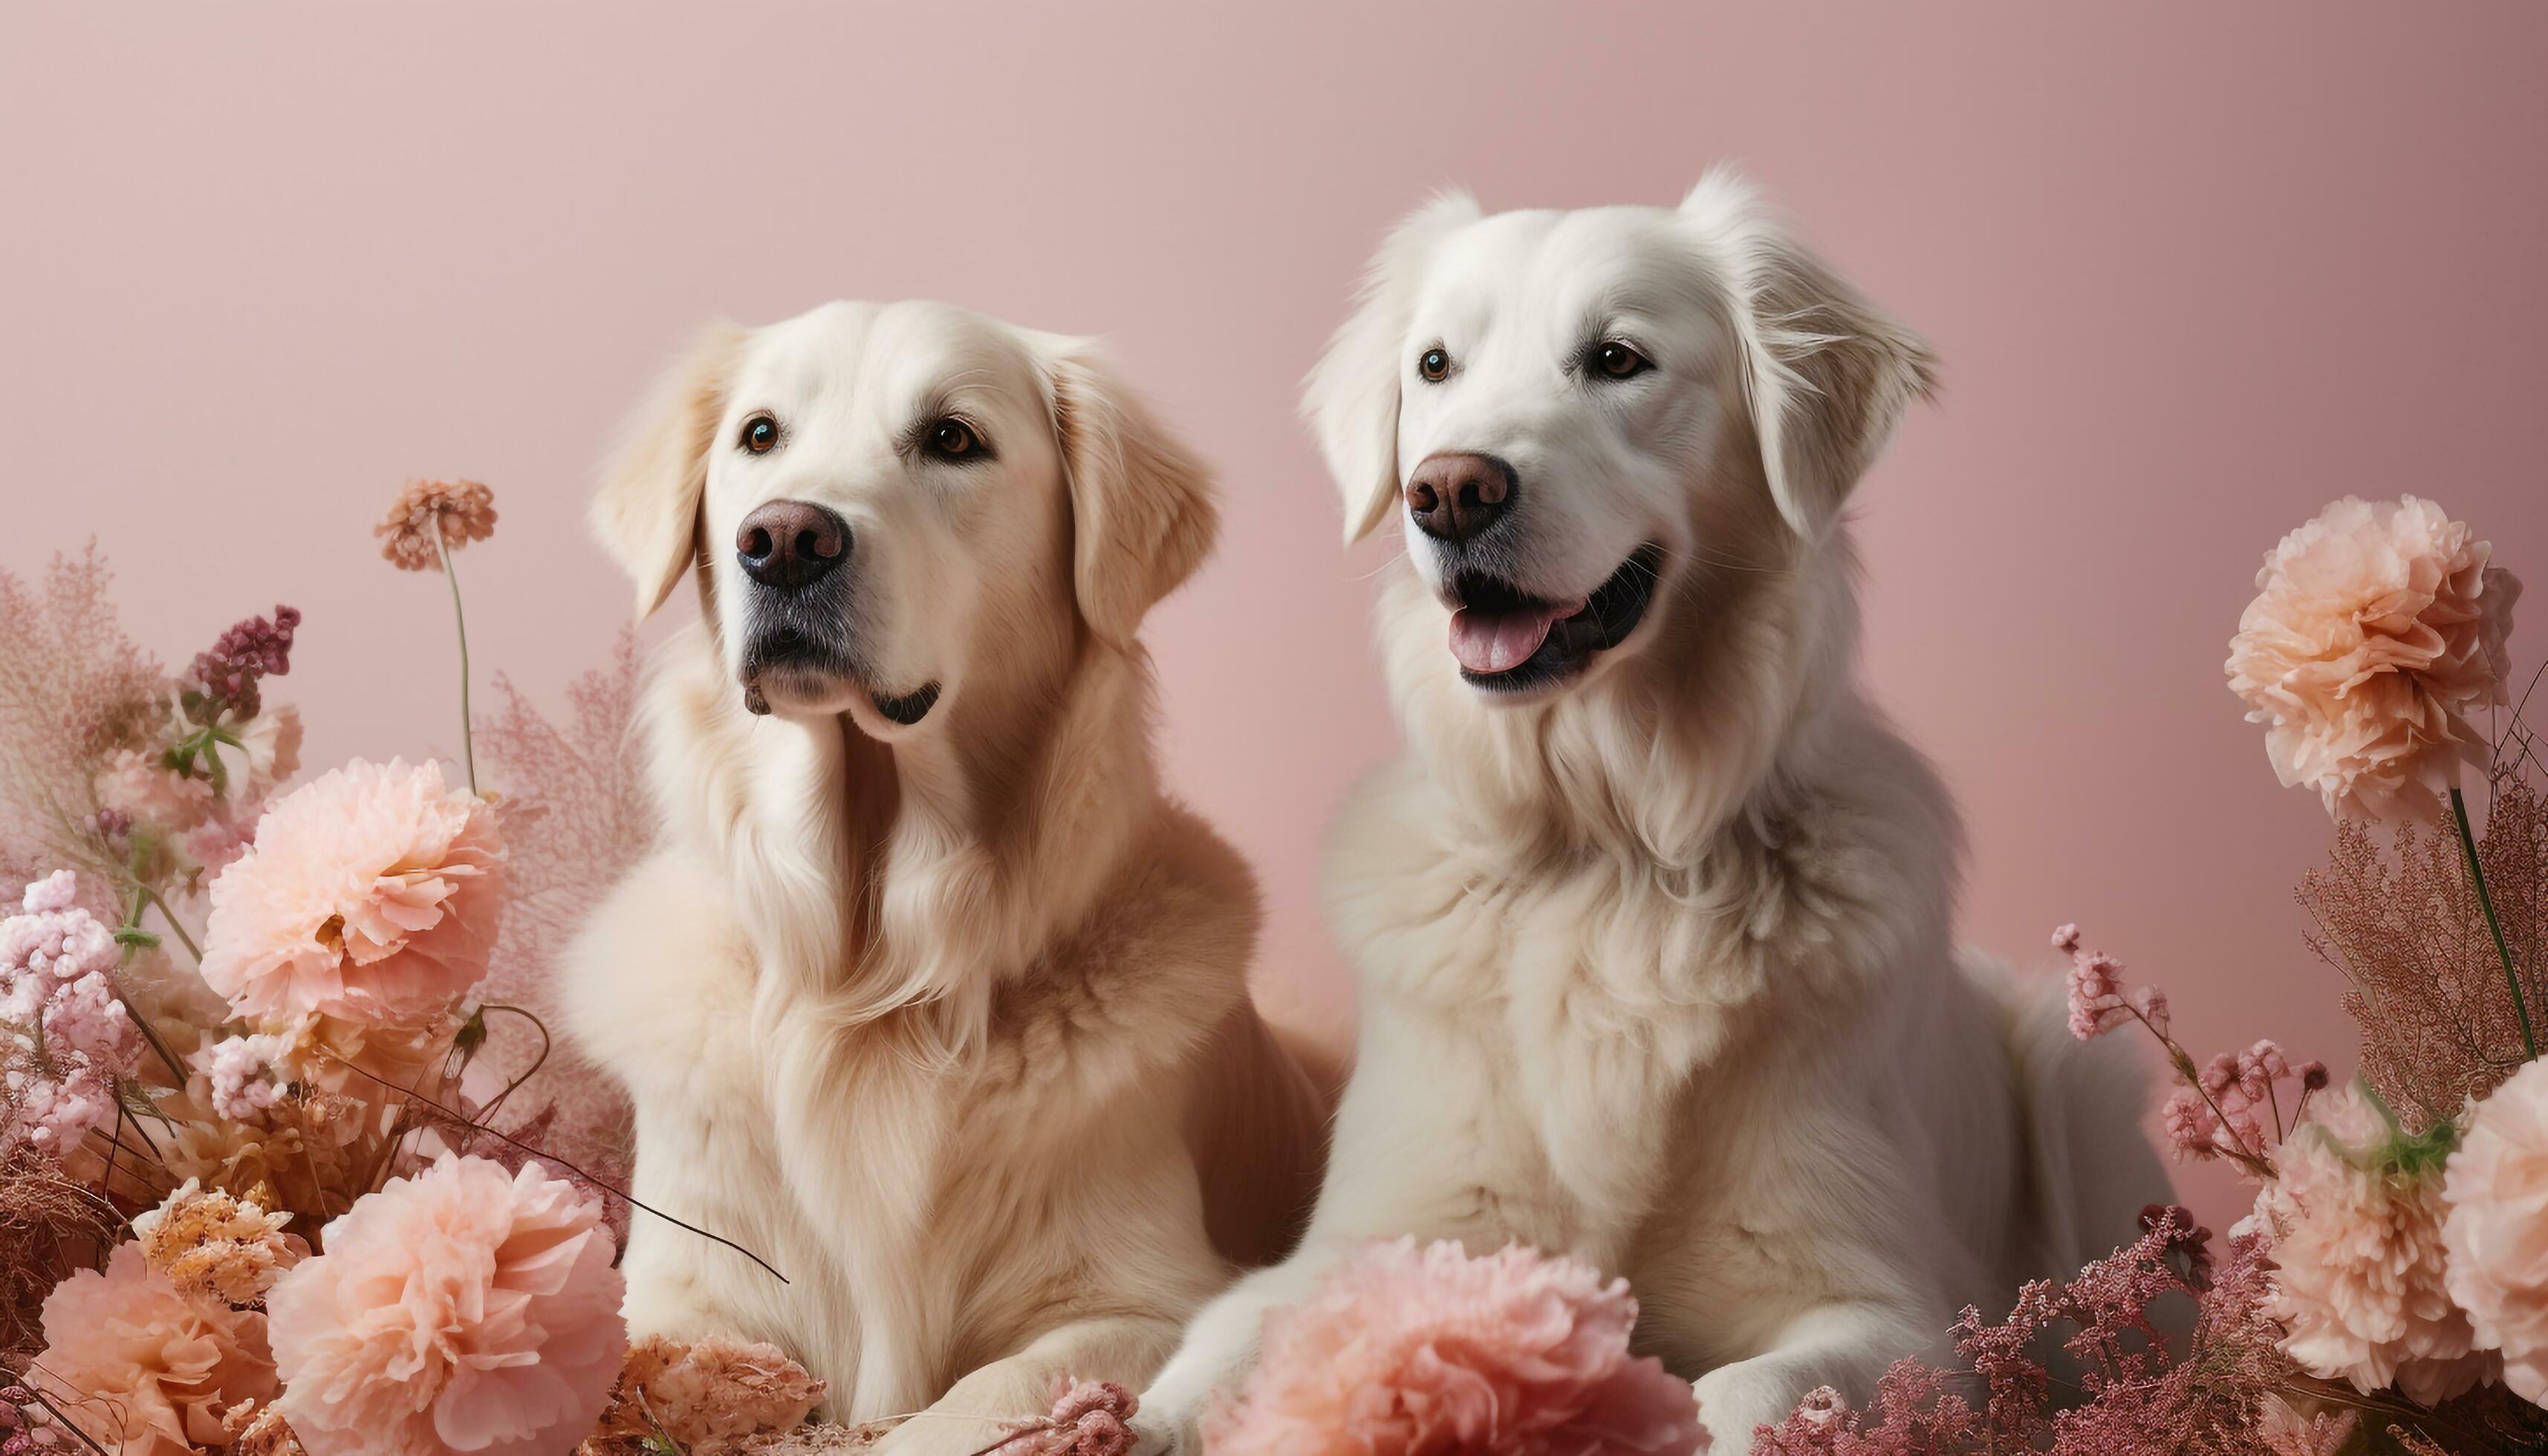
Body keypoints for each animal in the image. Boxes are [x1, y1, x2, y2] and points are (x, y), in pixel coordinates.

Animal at [568, 302, 1325, 1448]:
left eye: (952, 439)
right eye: (759, 435)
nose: (782, 540)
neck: (872, 974)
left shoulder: (1148, 1301)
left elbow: (966, 1409)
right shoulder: (684, 1287)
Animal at [1136, 177, 2171, 1448]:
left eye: (1617, 360)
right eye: (1434, 366)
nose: (1447, 490)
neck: (1610, 843)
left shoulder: (1894, 1319)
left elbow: (1746, 1394)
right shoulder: (1362, 1240)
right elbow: (1218, 1344)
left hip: (2082, 1091)